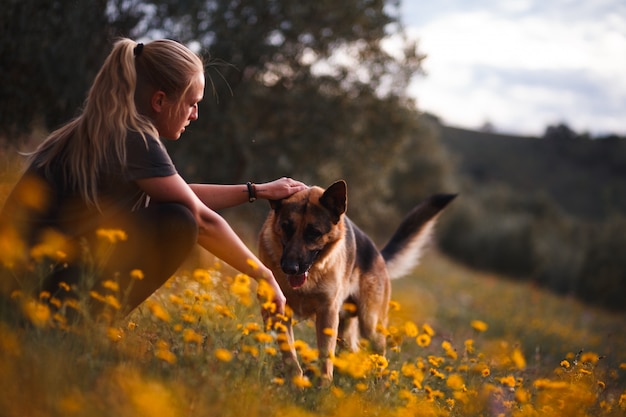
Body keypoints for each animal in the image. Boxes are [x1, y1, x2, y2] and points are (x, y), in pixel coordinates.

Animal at [256, 180, 450, 382]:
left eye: (314, 232)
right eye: (286, 227)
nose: (290, 268)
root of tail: (378, 254)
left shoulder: (327, 314)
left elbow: (326, 355)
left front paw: (323, 384)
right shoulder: (276, 309)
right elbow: (289, 352)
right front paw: (297, 381)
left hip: (370, 325)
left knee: (379, 357)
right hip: (346, 331)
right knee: (354, 351)